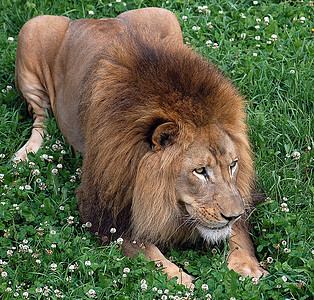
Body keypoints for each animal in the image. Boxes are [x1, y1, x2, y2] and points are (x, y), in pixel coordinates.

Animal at [14, 7, 268, 286]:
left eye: (233, 165)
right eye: (200, 171)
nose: (233, 215)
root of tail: (93, 18)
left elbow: (240, 233)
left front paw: (246, 265)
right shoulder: (104, 206)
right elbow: (144, 249)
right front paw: (180, 279)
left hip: (164, 15)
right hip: (32, 31)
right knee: (40, 118)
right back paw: (26, 154)